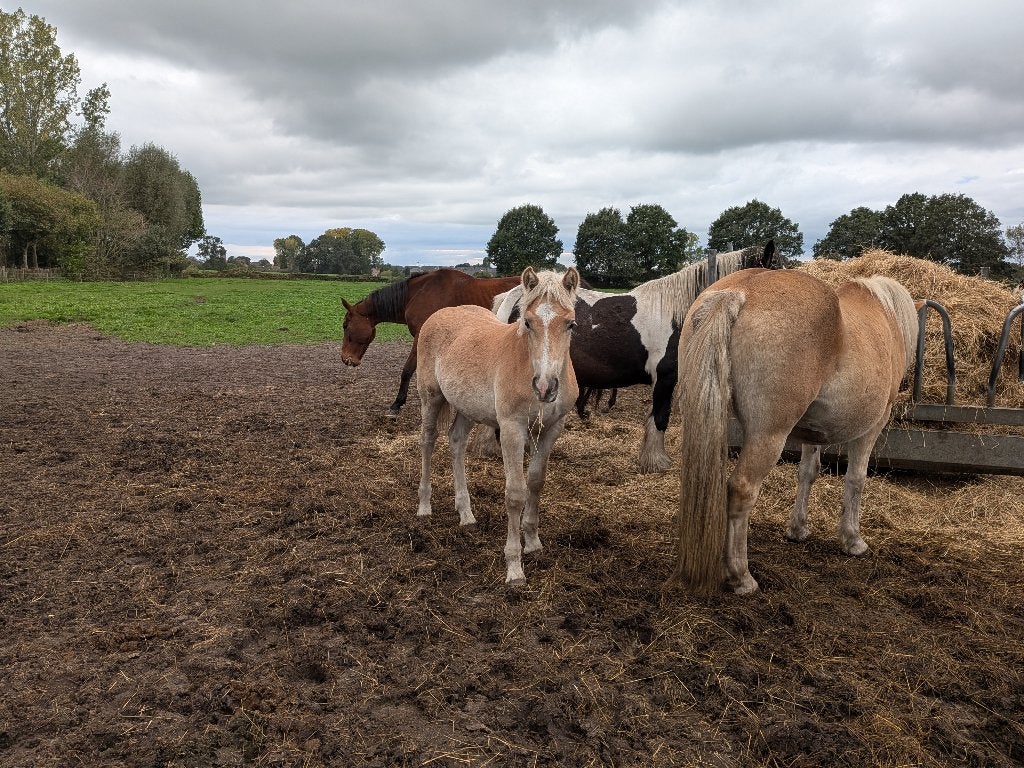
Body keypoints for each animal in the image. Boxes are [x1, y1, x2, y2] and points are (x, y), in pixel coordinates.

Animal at [341, 269, 521, 417]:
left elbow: (407, 370)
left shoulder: (420, 337)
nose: (345, 358)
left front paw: (397, 403)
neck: (419, 293)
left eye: (345, 326)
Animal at [416, 267, 580, 584]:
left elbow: (536, 483)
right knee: (428, 442)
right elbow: (515, 492)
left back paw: (466, 514)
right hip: (431, 398)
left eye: (570, 324)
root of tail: (439, 315)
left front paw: (534, 543)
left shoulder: (551, 429)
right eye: (527, 322)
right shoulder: (512, 429)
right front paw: (514, 567)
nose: (545, 387)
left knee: (456, 442)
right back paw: (424, 506)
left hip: (468, 407)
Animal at [492, 242, 779, 472]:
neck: (680, 314)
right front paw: (656, 462)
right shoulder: (665, 378)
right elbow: (660, 416)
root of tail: (514, 297)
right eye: (776, 269)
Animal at [672, 268, 921, 595]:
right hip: (769, 435)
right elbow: (856, 480)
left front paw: (798, 528)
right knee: (742, 490)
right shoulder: (872, 427)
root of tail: (738, 292)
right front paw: (852, 540)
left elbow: (807, 473)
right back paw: (741, 576)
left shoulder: (812, 434)